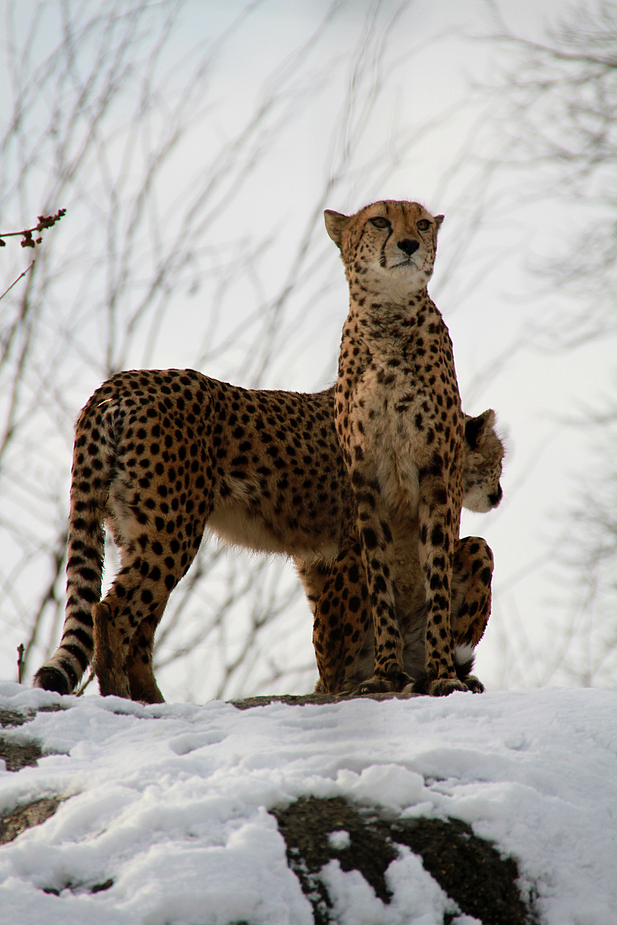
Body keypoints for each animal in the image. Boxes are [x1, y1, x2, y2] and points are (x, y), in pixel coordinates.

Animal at [324, 200, 470, 692]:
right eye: (379, 221)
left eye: (422, 224)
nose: (409, 244)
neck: (387, 320)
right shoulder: (365, 477)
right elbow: (381, 580)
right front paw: (386, 671)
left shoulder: (435, 473)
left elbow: (437, 580)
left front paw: (443, 672)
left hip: (479, 545)